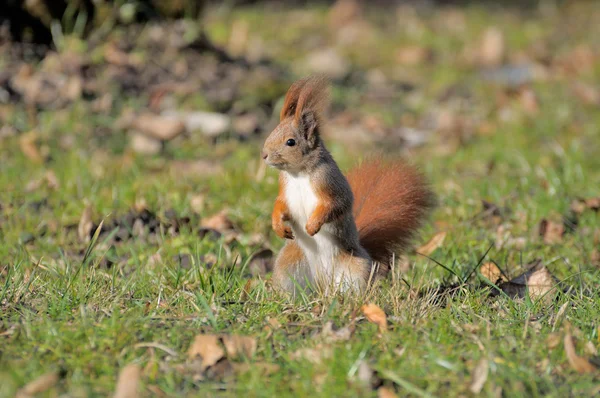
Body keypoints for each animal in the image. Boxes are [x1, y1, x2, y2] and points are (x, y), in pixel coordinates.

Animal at [260, 75, 434, 292]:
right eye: (272, 133)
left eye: (290, 142)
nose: (264, 155)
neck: (298, 174)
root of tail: (323, 283)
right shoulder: (285, 188)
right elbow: (280, 205)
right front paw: (278, 225)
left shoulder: (329, 181)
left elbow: (336, 205)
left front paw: (312, 226)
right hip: (289, 265)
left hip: (356, 269)